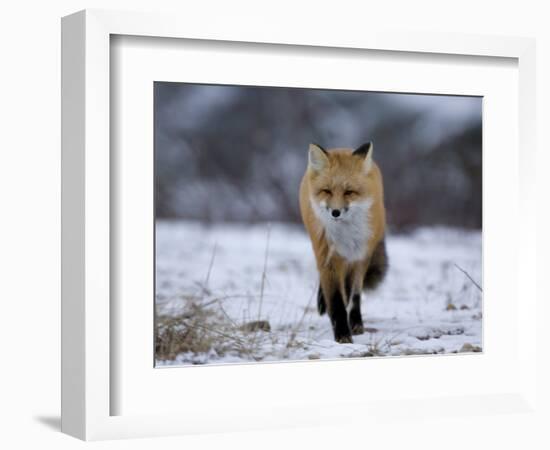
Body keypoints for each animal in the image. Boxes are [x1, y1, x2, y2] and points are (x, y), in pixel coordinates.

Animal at [300, 142, 390, 342]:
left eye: (349, 192)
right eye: (327, 191)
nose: (335, 212)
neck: (345, 235)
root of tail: (341, 147)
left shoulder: (360, 255)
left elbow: (353, 295)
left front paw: (353, 325)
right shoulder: (328, 255)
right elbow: (336, 300)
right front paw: (342, 334)